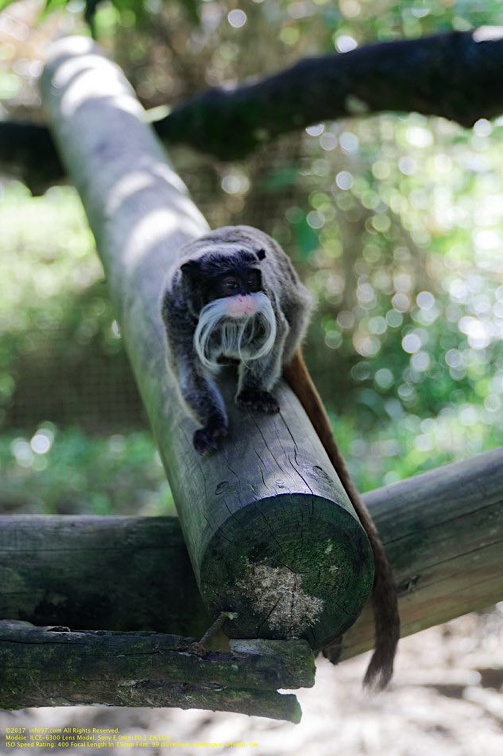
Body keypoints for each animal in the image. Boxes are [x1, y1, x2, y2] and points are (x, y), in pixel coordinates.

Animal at [161, 224, 402, 692]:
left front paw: (252, 393)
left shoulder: (269, 303)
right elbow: (187, 368)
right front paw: (213, 424)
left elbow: (269, 339)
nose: (246, 296)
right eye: (230, 284)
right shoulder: (174, 313)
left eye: (252, 281)